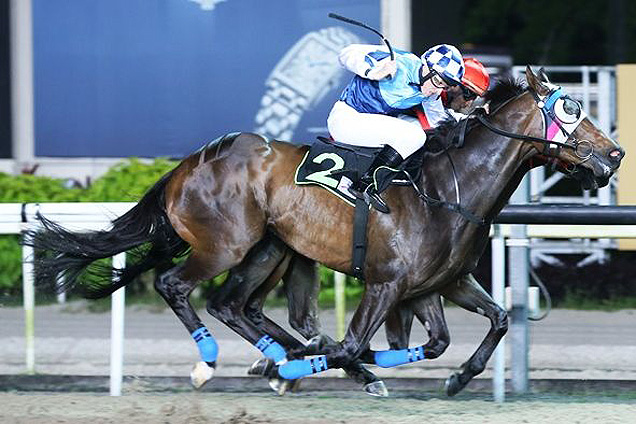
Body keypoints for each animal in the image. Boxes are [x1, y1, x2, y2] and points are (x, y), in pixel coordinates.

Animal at [24, 67, 620, 398]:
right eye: (571, 110)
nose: (614, 154)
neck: (449, 187)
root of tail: (190, 162)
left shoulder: (434, 285)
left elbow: (475, 328)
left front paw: (453, 379)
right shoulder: (386, 283)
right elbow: (355, 343)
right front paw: (305, 363)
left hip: (269, 250)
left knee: (233, 305)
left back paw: (279, 357)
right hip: (227, 244)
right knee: (177, 286)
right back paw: (213, 362)